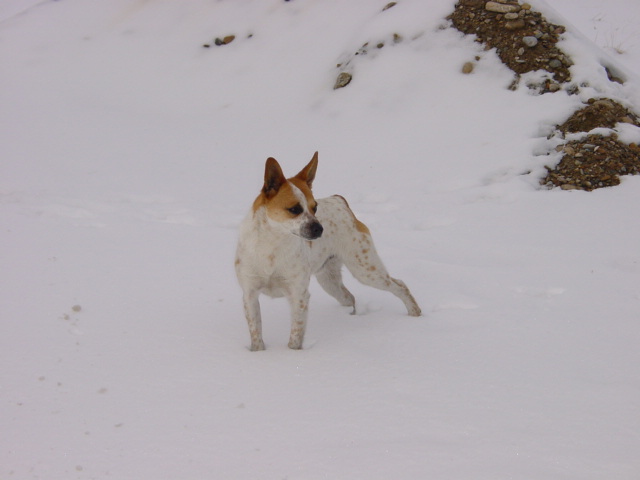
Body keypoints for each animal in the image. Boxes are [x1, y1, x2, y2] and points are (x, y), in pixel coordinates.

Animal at [234, 154, 420, 352]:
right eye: (294, 209)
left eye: (314, 208)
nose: (319, 229)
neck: (272, 246)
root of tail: (340, 200)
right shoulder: (250, 294)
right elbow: (256, 334)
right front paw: (258, 354)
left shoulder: (299, 294)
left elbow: (295, 336)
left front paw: (292, 355)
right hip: (329, 280)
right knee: (349, 297)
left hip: (365, 269)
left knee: (400, 285)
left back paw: (415, 314)